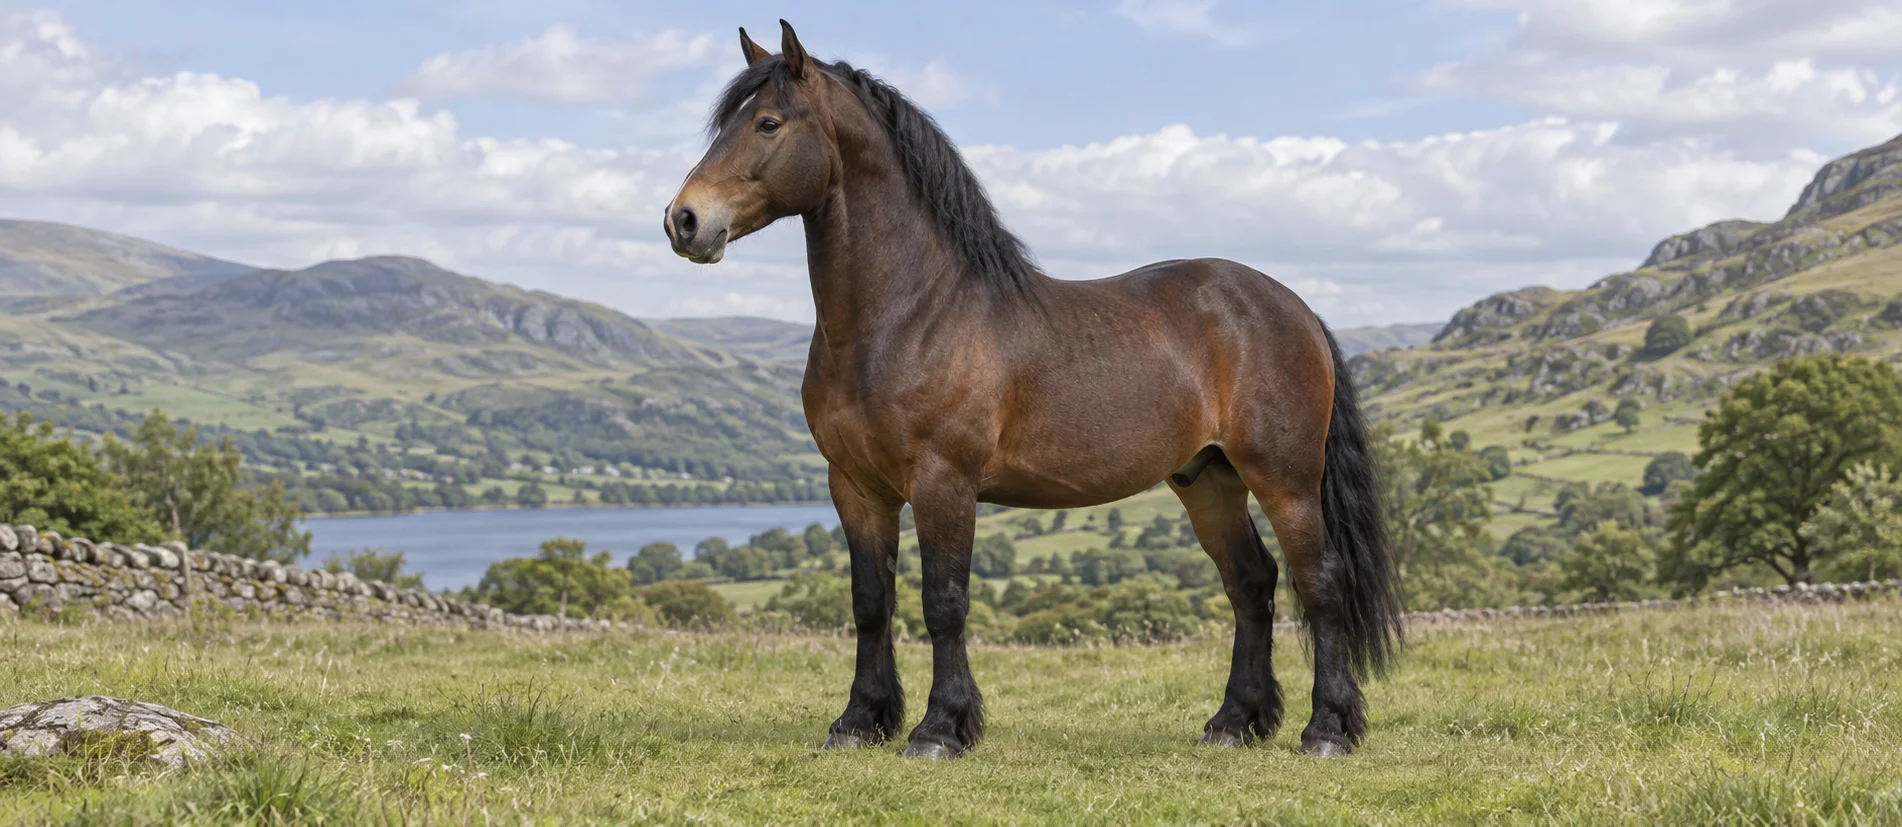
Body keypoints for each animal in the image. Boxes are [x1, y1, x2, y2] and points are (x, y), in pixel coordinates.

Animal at [664, 21, 1402, 759]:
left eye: (767, 122)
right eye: (724, 123)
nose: (684, 220)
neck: (912, 313)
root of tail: (1294, 307)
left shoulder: (944, 482)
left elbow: (943, 602)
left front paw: (940, 729)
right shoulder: (854, 485)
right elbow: (871, 602)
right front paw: (858, 721)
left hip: (1285, 478)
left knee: (1320, 583)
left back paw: (1327, 729)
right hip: (1208, 478)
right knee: (1251, 584)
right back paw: (1233, 722)